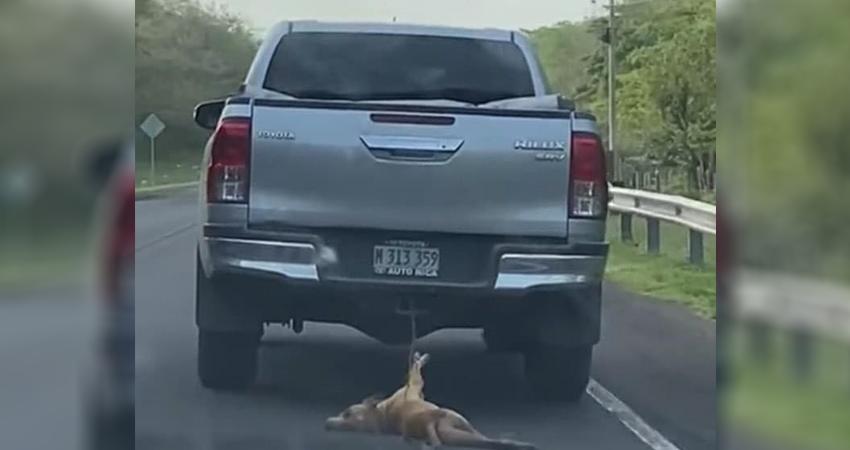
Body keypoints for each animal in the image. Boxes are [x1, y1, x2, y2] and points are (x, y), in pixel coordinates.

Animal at [324, 354, 536, 448]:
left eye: (347, 414)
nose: (327, 424)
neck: (383, 412)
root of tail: (428, 423)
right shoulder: (414, 385)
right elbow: (415, 370)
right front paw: (420, 359)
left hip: (457, 433)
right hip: (457, 422)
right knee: (485, 438)